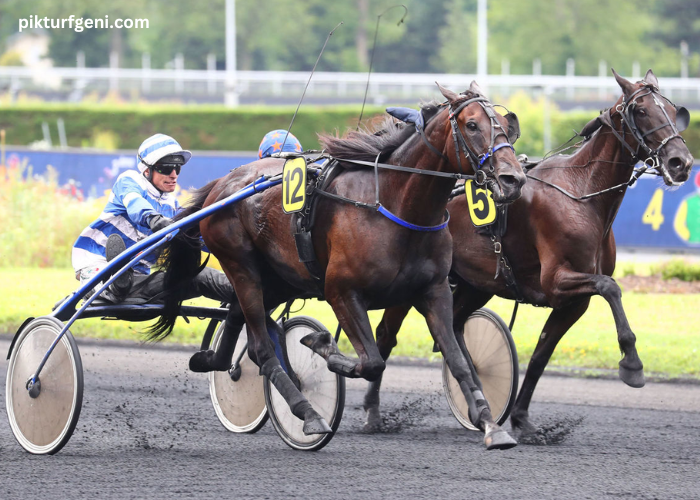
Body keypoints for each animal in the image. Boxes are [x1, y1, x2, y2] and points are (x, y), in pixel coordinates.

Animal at [150, 82, 528, 450]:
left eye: (506, 125)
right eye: (472, 125)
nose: (513, 179)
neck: (395, 206)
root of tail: (222, 185)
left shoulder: (433, 291)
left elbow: (458, 360)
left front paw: (491, 424)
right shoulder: (341, 291)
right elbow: (372, 361)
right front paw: (322, 345)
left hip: (280, 278)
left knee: (237, 316)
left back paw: (213, 361)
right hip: (240, 265)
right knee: (261, 348)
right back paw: (308, 414)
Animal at [366, 69, 696, 442]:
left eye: (673, 110)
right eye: (640, 110)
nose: (681, 163)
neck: (581, 193)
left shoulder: (573, 301)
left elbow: (541, 354)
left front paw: (522, 419)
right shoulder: (557, 280)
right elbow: (611, 287)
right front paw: (632, 365)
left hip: (476, 283)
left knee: (455, 325)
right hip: (413, 283)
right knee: (387, 334)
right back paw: (373, 413)